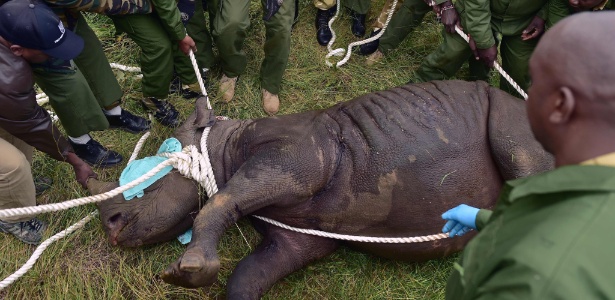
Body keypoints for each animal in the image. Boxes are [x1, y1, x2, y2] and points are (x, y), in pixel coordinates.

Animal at [88, 81, 552, 298]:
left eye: (148, 180)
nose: (109, 226)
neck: (221, 147)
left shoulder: (302, 155)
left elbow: (219, 200)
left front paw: (187, 270)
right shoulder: (298, 237)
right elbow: (247, 275)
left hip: (511, 113)